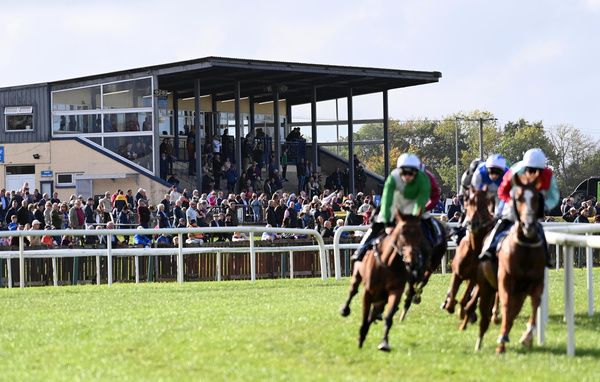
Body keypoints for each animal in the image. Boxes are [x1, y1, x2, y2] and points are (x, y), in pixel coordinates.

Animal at [338, 213, 422, 350]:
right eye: (403, 233)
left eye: (420, 234)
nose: (414, 259)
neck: (388, 264)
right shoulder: (368, 293)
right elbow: (365, 315)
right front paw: (361, 337)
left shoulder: (395, 291)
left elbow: (388, 316)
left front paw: (384, 343)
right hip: (357, 274)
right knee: (353, 290)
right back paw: (345, 309)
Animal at [440, 187, 496, 326]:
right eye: (469, 202)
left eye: (484, 205)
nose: (473, 222)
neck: (474, 249)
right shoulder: (457, 273)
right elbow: (453, 295)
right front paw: (450, 304)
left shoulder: (474, 278)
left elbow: (466, 297)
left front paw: (465, 312)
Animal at [472, 175, 548, 354]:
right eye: (518, 198)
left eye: (537, 198)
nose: (529, 225)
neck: (526, 247)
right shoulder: (505, 279)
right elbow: (506, 306)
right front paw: (501, 342)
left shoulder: (535, 282)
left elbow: (535, 303)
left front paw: (527, 337)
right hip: (488, 285)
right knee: (488, 313)